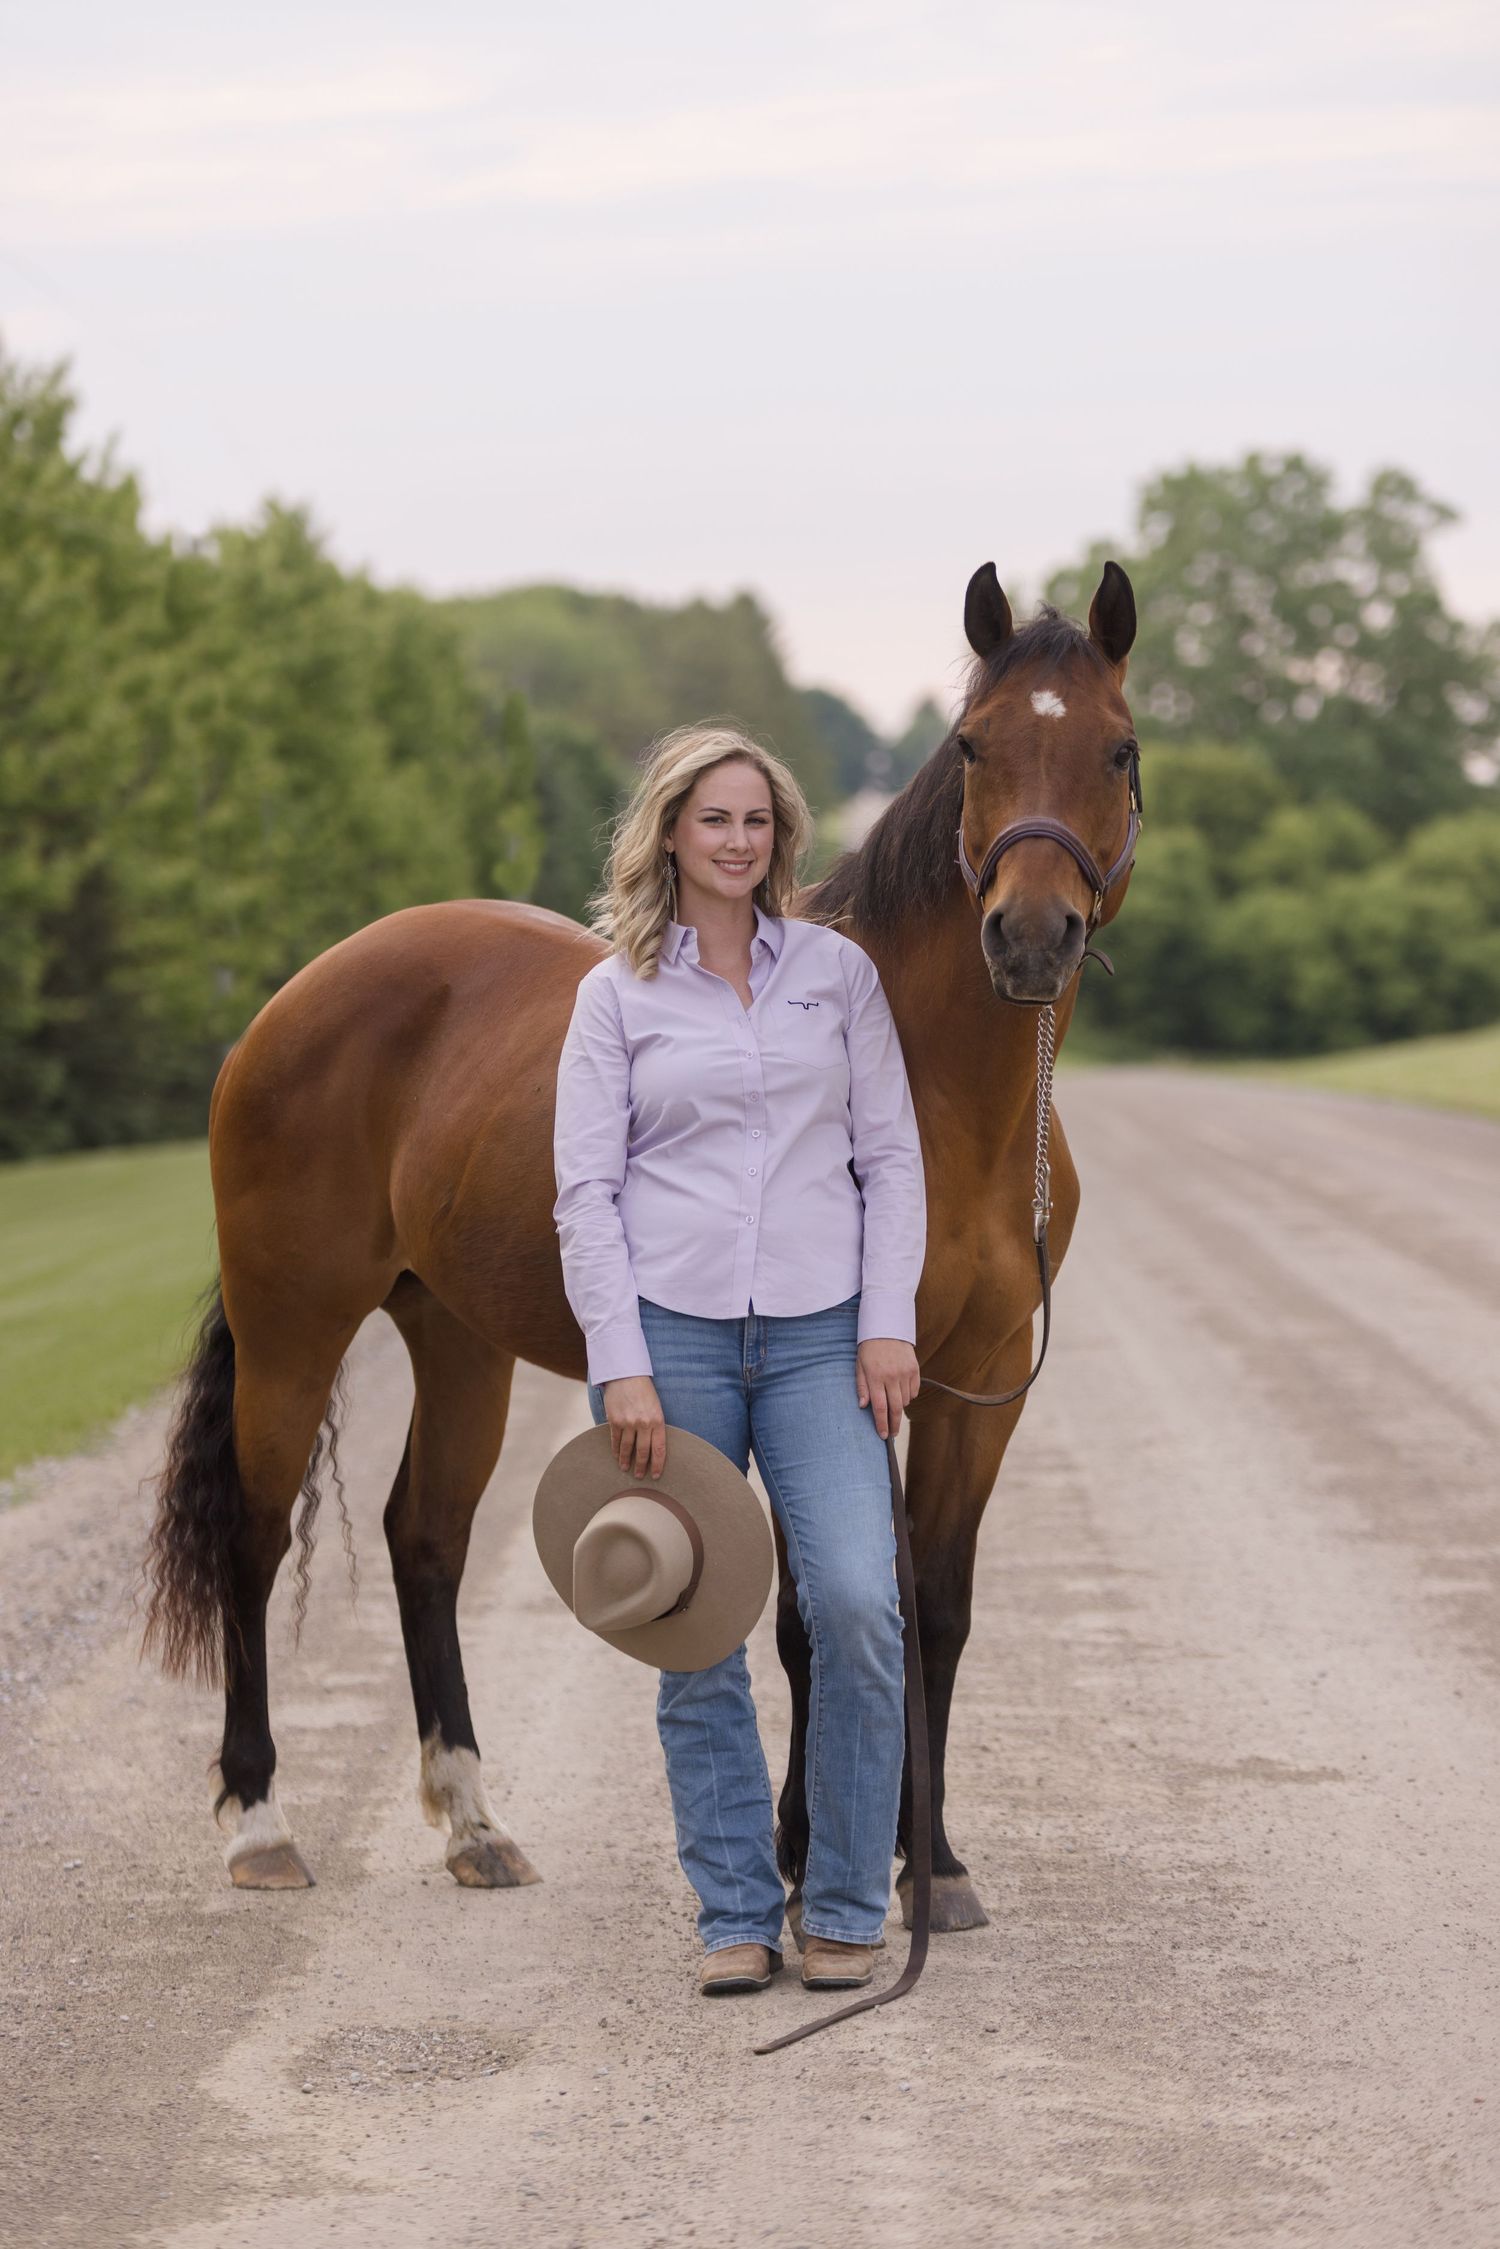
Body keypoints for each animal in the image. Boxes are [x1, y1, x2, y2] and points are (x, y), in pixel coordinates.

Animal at [142, 559, 1139, 1921]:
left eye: (1118, 747)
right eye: (975, 745)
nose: (1030, 938)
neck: (945, 1095)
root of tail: (292, 1000)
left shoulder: (978, 1387)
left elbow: (935, 1603)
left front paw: (930, 1861)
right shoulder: (830, 1370)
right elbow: (814, 1614)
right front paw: (802, 1857)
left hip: (455, 1336)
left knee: (426, 1538)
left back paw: (474, 1821)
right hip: (293, 1323)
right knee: (252, 1535)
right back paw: (259, 1823)